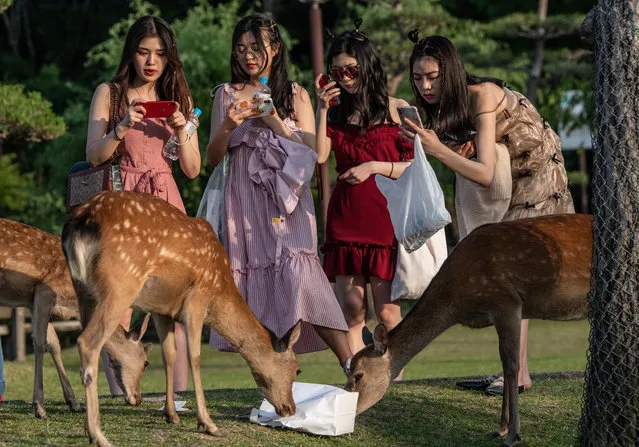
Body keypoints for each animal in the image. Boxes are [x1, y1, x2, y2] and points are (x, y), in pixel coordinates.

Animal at [0, 219, 152, 418]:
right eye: (146, 363)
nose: (138, 398)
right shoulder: (44, 291)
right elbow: (39, 344)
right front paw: (39, 406)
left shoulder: (33, 303)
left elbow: (54, 344)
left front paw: (73, 402)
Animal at [63, 191, 304, 447]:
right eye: (297, 370)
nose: (290, 408)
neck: (220, 289)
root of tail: (79, 223)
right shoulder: (198, 299)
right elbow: (194, 357)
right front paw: (207, 423)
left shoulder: (161, 310)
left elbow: (169, 355)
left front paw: (171, 414)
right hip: (121, 282)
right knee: (87, 342)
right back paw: (98, 435)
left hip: (82, 290)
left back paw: (88, 428)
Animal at [348, 214, 592, 447]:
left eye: (358, 375)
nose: (351, 411)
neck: (457, 302)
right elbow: (504, 363)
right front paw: (500, 428)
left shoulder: (507, 302)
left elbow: (511, 366)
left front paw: (513, 434)